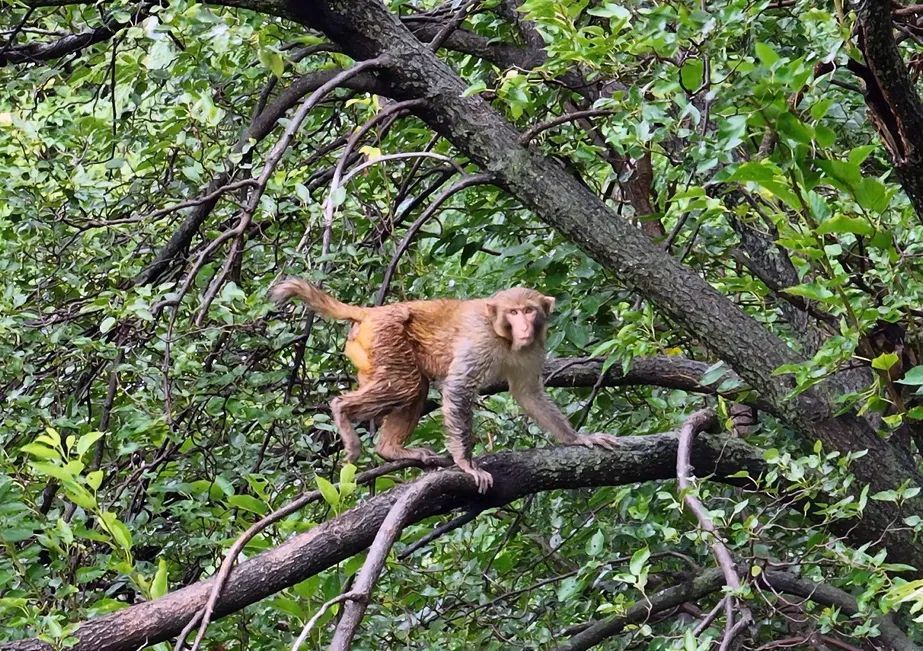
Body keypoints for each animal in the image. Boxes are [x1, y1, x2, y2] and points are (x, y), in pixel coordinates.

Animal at [272, 280, 620, 494]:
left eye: (529, 310)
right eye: (513, 312)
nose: (523, 326)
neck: (504, 337)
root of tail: (372, 312)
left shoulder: (531, 349)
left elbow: (528, 394)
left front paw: (577, 438)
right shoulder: (481, 341)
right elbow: (458, 388)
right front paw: (466, 463)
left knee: (415, 388)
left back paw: (390, 449)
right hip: (386, 338)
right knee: (406, 384)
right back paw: (342, 411)